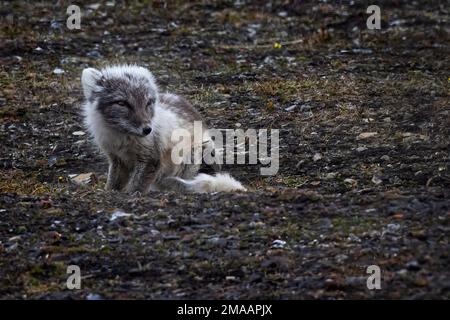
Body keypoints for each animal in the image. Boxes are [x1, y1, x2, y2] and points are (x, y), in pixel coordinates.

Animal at [82, 64, 248, 194]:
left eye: (148, 103)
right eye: (122, 103)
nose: (147, 130)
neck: (122, 138)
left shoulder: (151, 159)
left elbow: (137, 186)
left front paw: (132, 194)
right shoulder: (116, 159)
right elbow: (113, 184)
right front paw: (110, 192)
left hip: (194, 154)